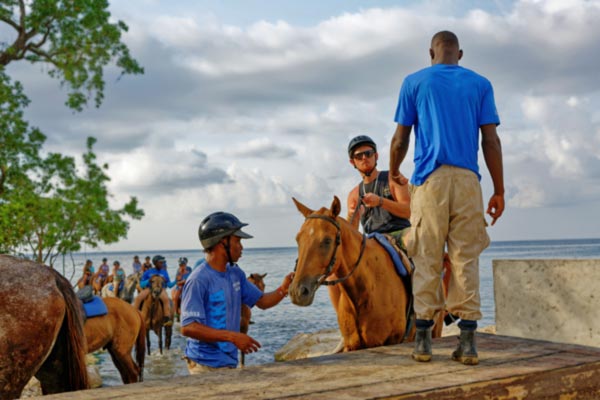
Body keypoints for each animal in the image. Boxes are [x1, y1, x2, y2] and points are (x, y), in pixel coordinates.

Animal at [288, 196, 448, 350]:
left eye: (327, 240)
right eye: (298, 239)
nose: (298, 292)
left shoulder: (392, 340)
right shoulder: (352, 345)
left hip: (436, 329)